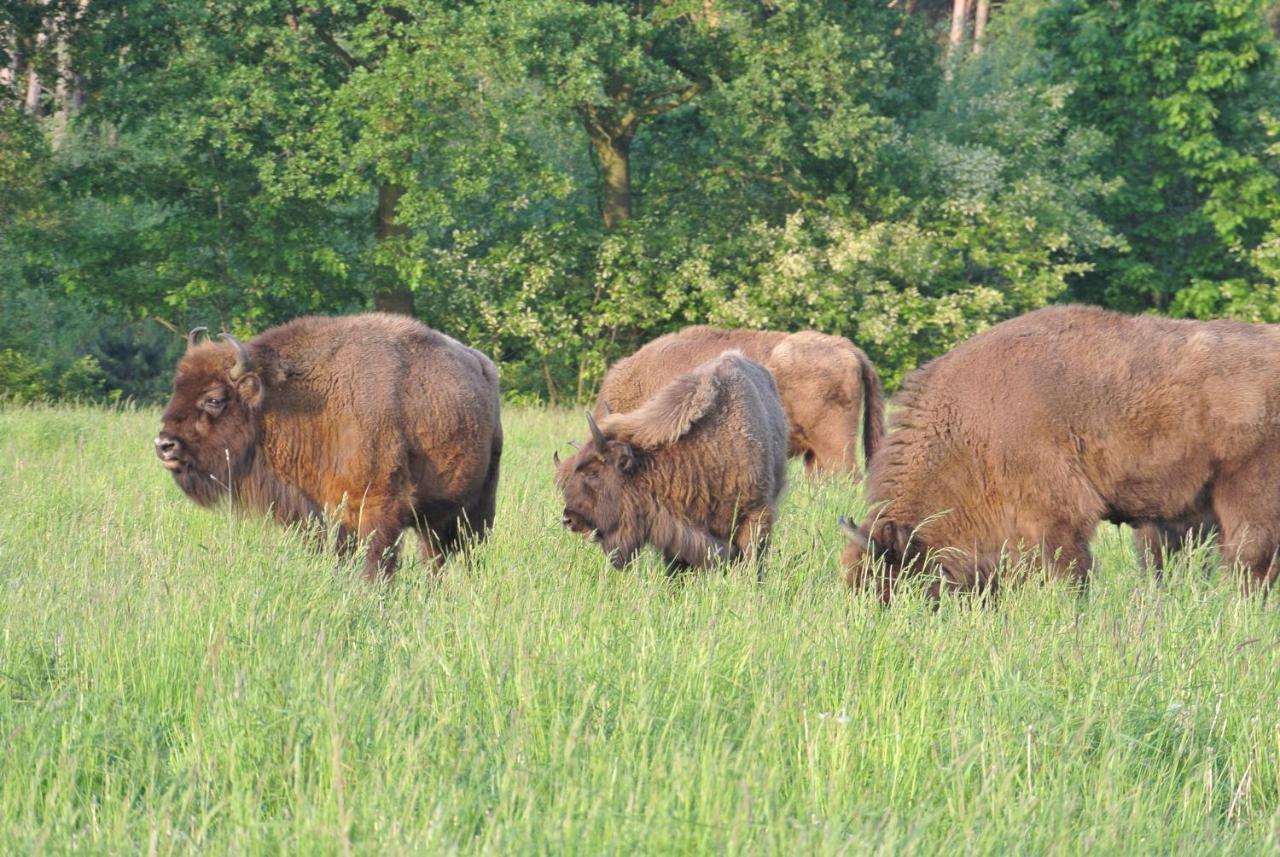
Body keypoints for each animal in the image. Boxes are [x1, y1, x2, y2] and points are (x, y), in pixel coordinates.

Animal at [152, 312, 501, 580]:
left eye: (214, 399)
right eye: (177, 389)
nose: (164, 444)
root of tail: (483, 366)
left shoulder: (378, 507)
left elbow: (376, 562)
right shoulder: (322, 512)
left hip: (477, 507)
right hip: (434, 518)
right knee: (435, 558)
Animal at [844, 305, 1280, 601]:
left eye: (888, 580)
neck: (970, 428)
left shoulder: (1057, 515)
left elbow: (1070, 572)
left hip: (1247, 494)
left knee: (1250, 560)